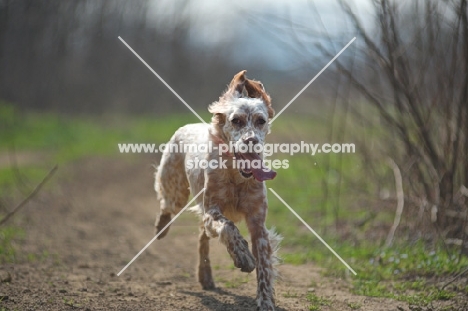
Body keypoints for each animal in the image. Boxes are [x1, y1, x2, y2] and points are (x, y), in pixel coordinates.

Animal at [154, 70, 282, 311]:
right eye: (236, 120)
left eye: (261, 121)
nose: (251, 141)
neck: (236, 177)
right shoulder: (212, 211)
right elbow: (228, 227)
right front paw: (243, 257)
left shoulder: (258, 224)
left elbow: (264, 268)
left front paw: (265, 301)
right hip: (176, 191)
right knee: (167, 206)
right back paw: (161, 228)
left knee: (202, 238)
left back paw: (205, 276)